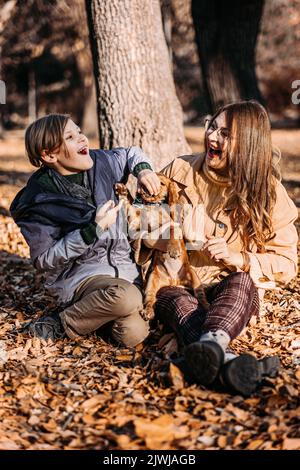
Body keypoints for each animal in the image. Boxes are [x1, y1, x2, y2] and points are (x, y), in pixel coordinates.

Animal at [115, 174, 209, 322]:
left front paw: (174, 249)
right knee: (150, 299)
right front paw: (123, 191)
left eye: (162, 183)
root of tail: (174, 281)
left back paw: (206, 306)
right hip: (151, 281)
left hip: (194, 276)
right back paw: (148, 311)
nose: (146, 188)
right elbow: (129, 205)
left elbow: (171, 232)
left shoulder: (172, 225)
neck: (152, 207)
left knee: (200, 295)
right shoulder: (136, 222)